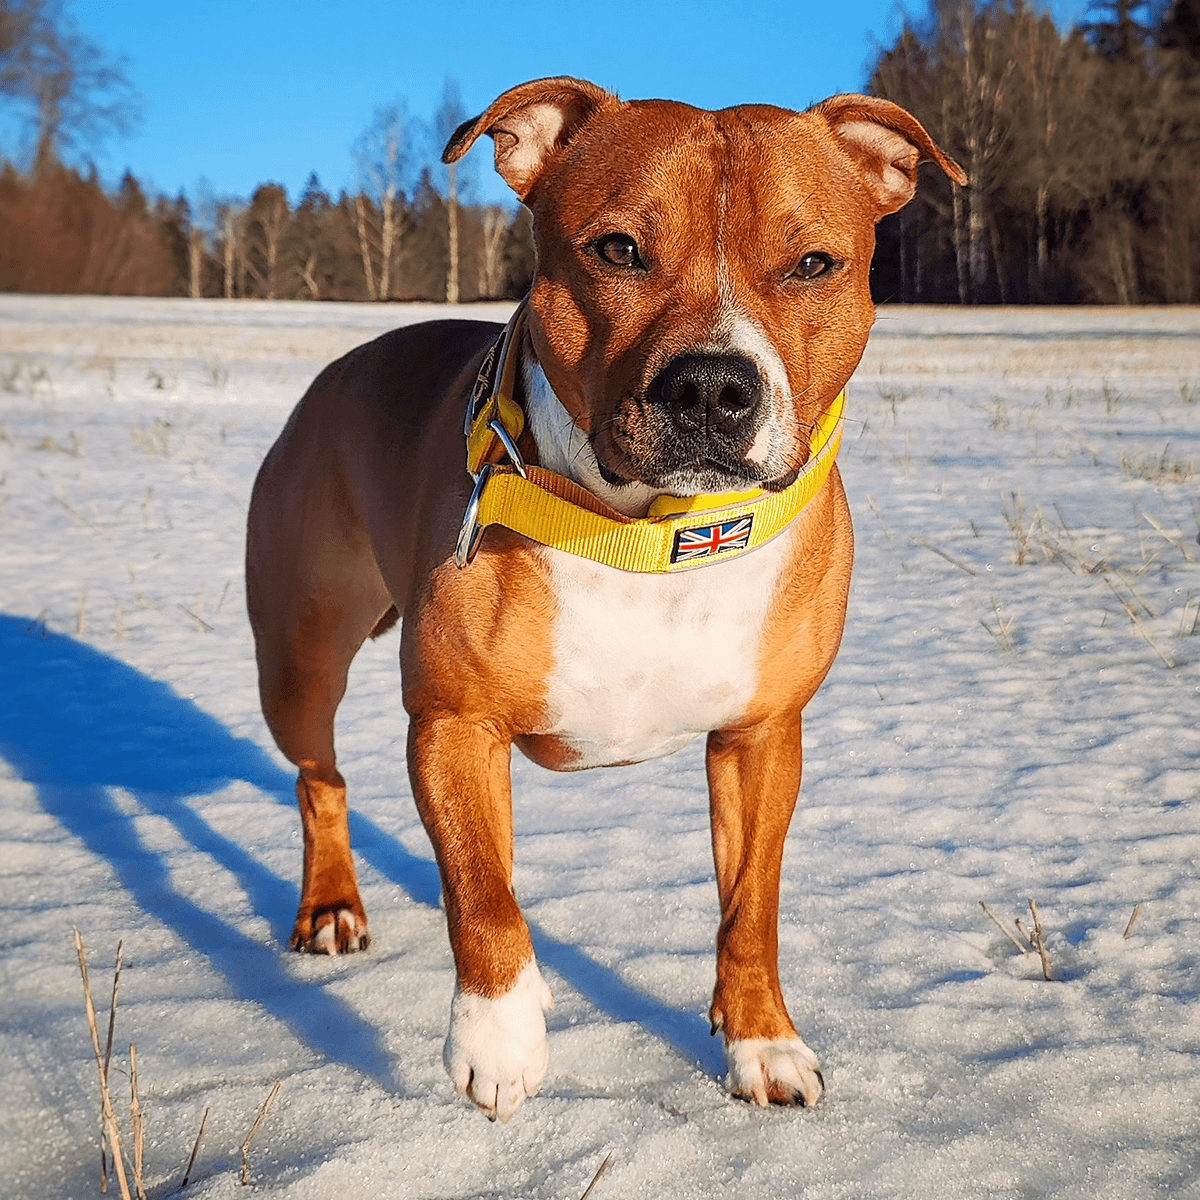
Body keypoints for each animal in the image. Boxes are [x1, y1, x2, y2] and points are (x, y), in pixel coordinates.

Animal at [246, 77, 964, 1123]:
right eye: (618, 249)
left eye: (813, 264)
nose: (711, 388)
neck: (651, 537)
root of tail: (340, 368)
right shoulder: (455, 723)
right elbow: (482, 893)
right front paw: (498, 1037)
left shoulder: (763, 733)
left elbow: (751, 904)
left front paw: (763, 1041)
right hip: (299, 656)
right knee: (319, 777)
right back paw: (334, 906)